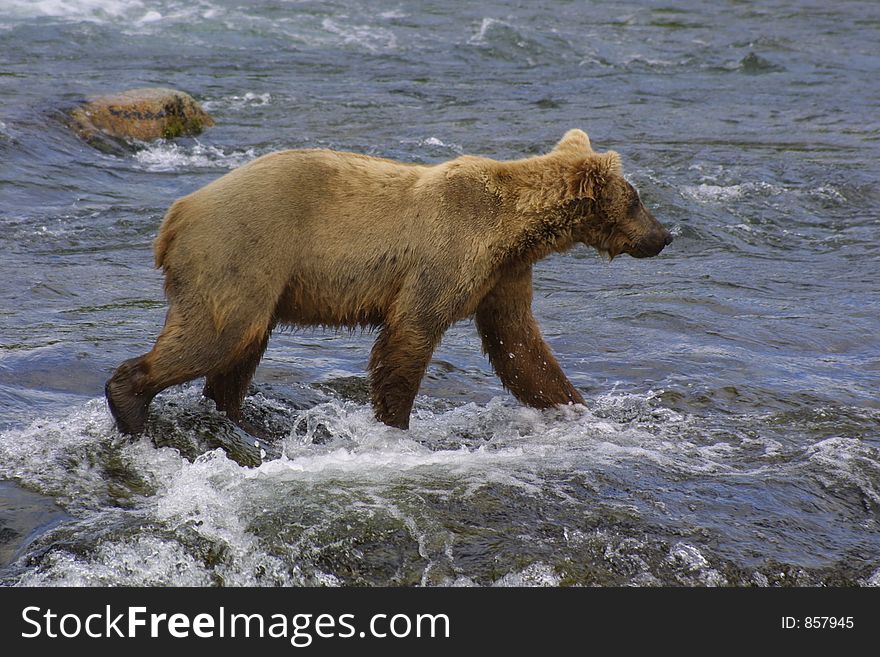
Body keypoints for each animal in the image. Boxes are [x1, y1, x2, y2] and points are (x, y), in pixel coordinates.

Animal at [106, 128, 672, 436]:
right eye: (636, 198)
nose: (665, 235)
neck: (515, 229)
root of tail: (177, 213)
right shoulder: (448, 252)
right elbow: (411, 334)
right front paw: (396, 426)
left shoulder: (504, 274)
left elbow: (519, 346)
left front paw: (574, 406)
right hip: (242, 252)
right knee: (218, 335)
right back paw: (131, 403)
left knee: (240, 350)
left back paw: (241, 419)